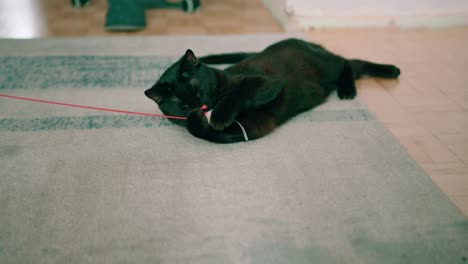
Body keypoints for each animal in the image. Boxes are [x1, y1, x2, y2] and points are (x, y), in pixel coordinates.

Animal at [144, 37, 400, 142]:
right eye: (181, 104)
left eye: (197, 89)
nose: (200, 105)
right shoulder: (257, 124)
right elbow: (206, 133)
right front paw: (198, 121)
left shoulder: (267, 82)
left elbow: (237, 93)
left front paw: (218, 117)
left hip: (328, 67)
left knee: (348, 62)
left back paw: (381, 75)